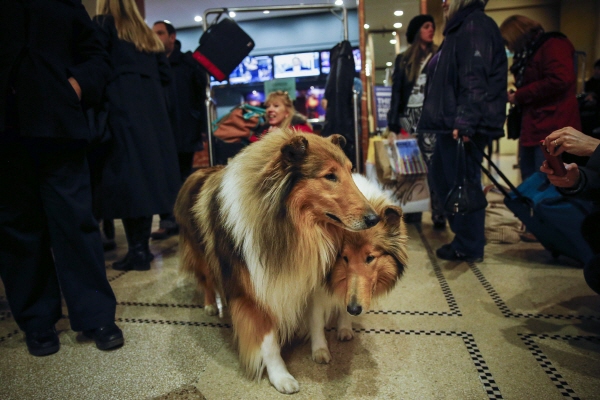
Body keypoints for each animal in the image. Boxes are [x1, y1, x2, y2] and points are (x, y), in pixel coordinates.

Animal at [175, 129, 380, 394]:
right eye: (330, 176)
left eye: (350, 170)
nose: (375, 218)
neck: (291, 228)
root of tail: (197, 172)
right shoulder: (256, 294)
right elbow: (268, 341)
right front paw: (280, 376)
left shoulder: (307, 281)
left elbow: (315, 318)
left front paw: (320, 348)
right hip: (200, 256)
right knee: (206, 279)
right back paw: (211, 305)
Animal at [304, 173, 408, 364]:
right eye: (344, 258)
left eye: (370, 257)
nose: (354, 309)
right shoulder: (315, 292)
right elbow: (316, 321)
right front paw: (320, 350)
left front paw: (345, 328)